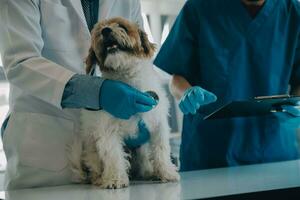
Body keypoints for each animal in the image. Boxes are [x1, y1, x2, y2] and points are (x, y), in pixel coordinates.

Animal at [67, 17, 179, 189]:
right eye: (98, 31)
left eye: (121, 26)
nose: (106, 30)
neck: (129, 83)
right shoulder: (108, 131)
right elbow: (114, 156)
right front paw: (115, 179)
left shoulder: (158, 125)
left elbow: (161, 150)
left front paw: (167, 172)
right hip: (91, 149)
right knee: (94, 167)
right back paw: (99, 179)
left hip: (141, 149)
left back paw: (149, 173)